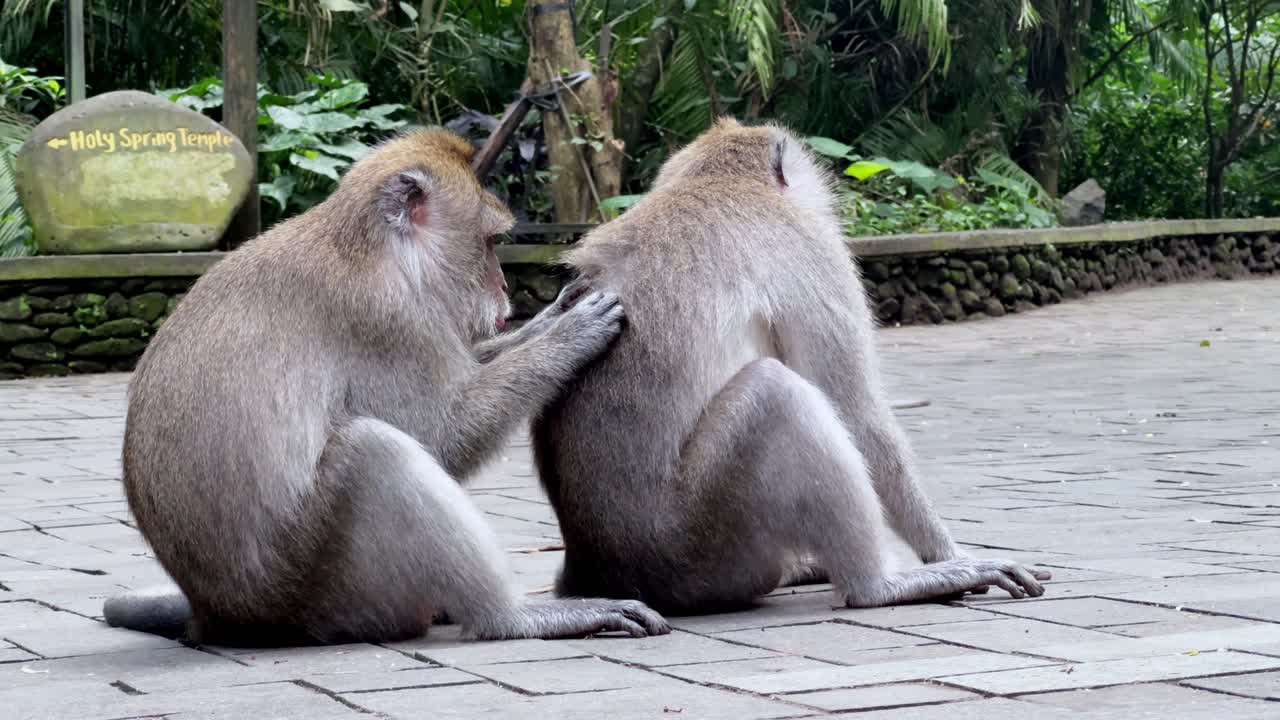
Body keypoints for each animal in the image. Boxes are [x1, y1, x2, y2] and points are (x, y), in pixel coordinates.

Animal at [102, 129, 670, 646]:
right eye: (490, 244)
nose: (505, 286)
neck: (373, 249)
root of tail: (215, 616)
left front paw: (550, 318)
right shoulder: (387, 320)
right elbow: (440, 435)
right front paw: (568, 336)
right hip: (330, 588)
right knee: (375, 451)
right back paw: (512, 617)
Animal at [530, 118, 1051, 615]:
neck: (716, 180)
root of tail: (593, 567)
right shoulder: (812, 247)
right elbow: (859, 415)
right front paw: (951, 555)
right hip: (698, 541)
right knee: (776, 393)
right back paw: (880, 585)